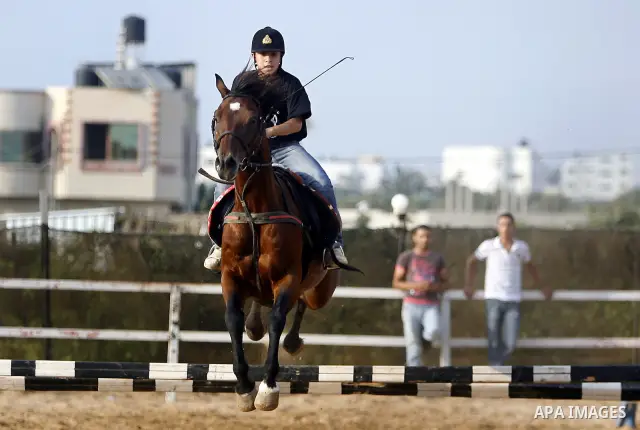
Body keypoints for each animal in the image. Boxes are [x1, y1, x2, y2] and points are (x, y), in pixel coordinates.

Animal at [206, 70, 363, 412]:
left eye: (254, 120)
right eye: (216, 117)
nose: (226, 163)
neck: (255, 212)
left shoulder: (288, 277)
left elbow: (278, 319)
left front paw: (267, 388)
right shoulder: (230, 276)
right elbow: (233, 320)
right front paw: (243, 388)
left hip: (320, 289)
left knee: (302, 303)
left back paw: (292, 340)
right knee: (259, 309)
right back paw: (255, 325)